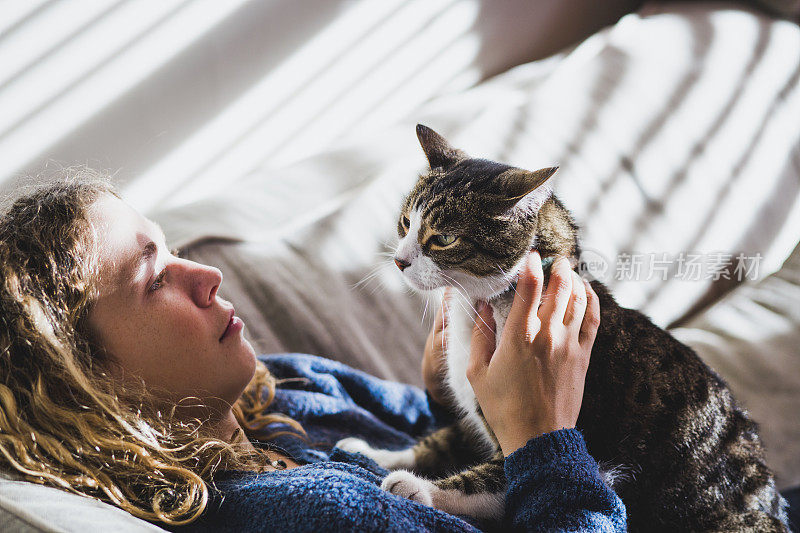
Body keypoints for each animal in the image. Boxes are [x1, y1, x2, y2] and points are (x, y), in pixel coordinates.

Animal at [336, 125, 788, 532]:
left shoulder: (590, 446)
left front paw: (416, 488)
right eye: (405, 221)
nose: (399, 260)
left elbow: (501, 476)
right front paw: (378, 453)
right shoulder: (475, 410)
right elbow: (445, 438)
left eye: (443, 238)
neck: (487, 304)